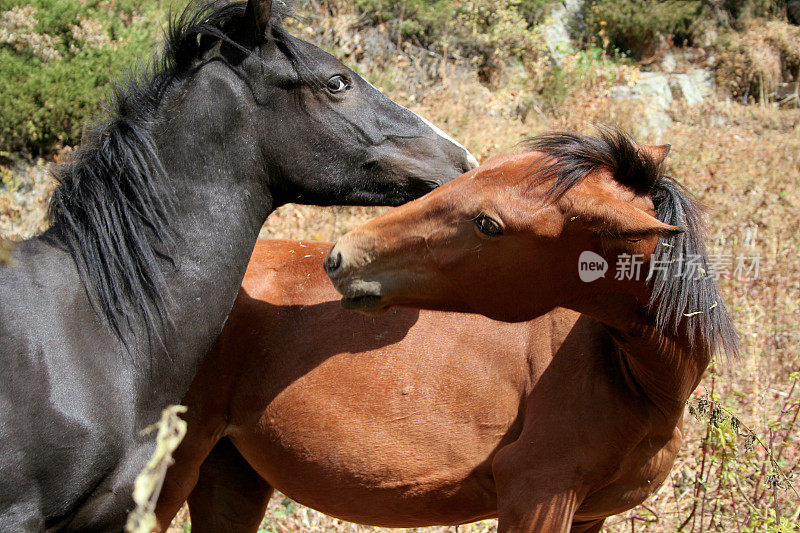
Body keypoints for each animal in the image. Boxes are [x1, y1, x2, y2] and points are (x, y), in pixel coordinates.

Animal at [153, 130, 736, 532]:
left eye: (488, 224)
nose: (340, 256)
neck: (639, 381)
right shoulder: (536, 496)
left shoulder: (588, 516)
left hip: (232, 475)